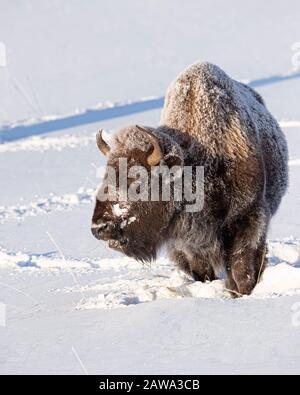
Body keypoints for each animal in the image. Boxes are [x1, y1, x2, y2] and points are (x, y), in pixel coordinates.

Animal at [91, 61, 288, 296]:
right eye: (106, 174)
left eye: (138, 180)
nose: (99, 227)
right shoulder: (187, 240)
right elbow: (202, 269)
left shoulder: (249, 217)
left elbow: (242, 268)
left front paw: (241, 292)